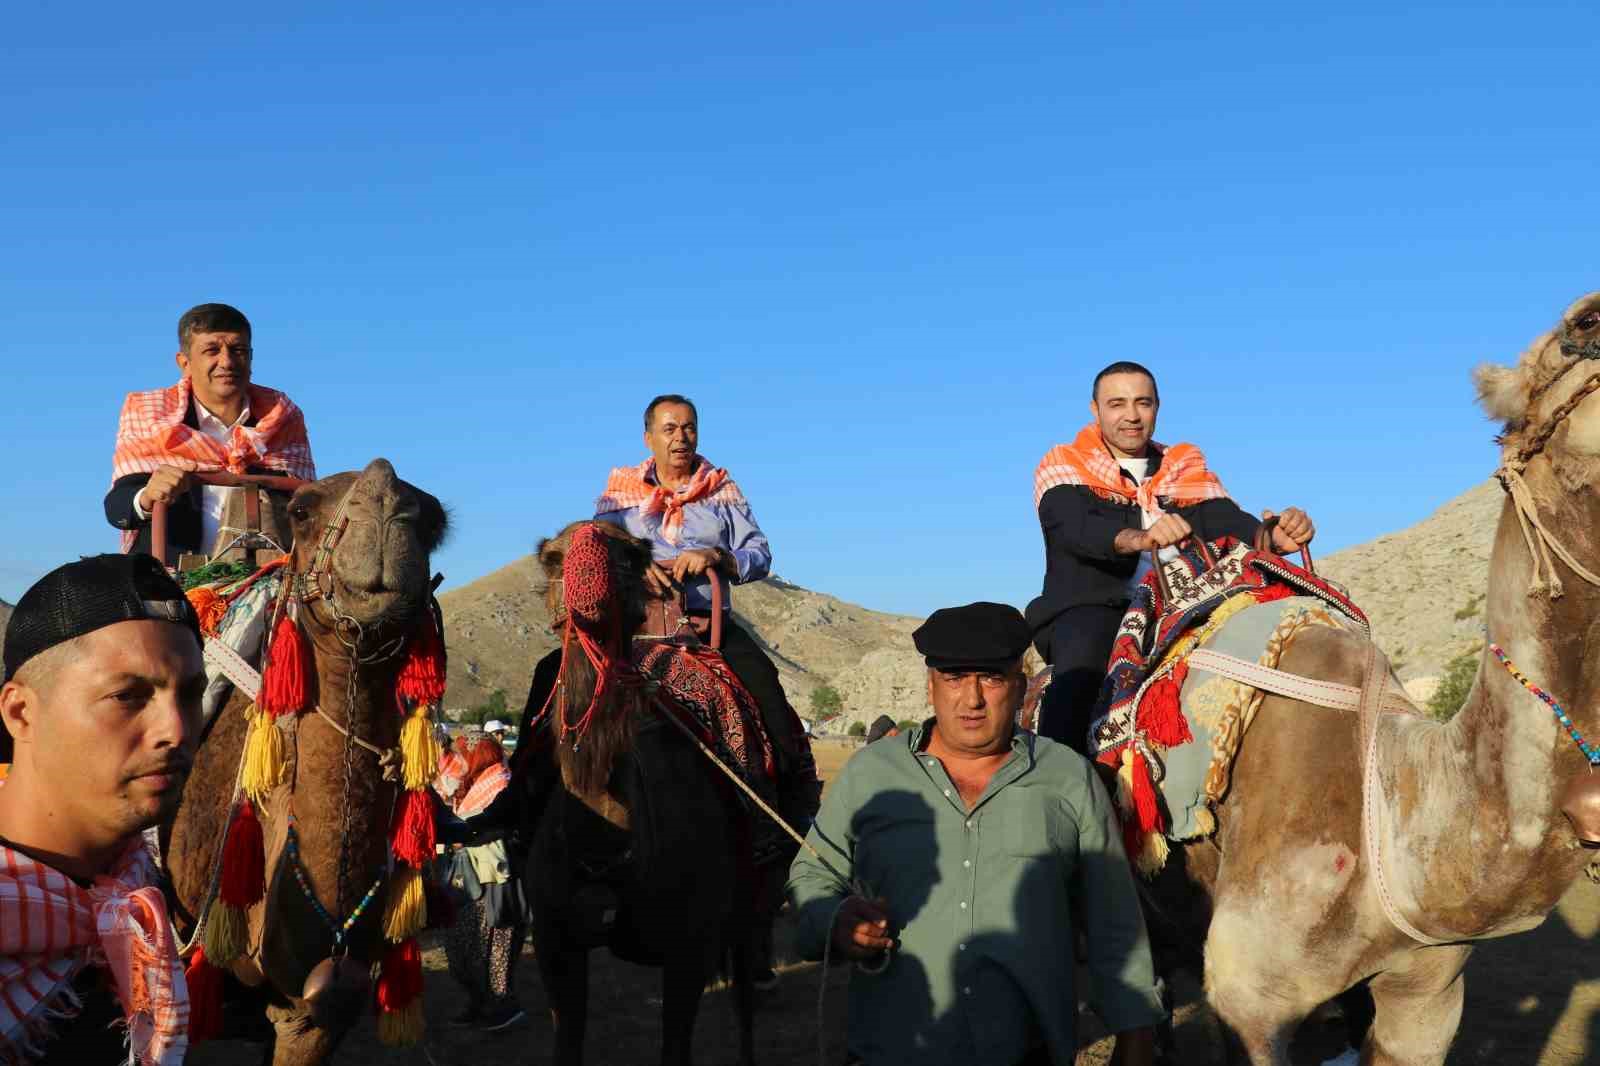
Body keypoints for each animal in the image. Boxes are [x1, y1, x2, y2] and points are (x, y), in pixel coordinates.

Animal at [518, 518, 755, 1062]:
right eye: (553, 558)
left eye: (630, 555)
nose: (587, 581)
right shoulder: (554, 939)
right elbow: (566, 1045)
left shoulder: (690, 945)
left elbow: (676, 1048)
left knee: (747, 992)